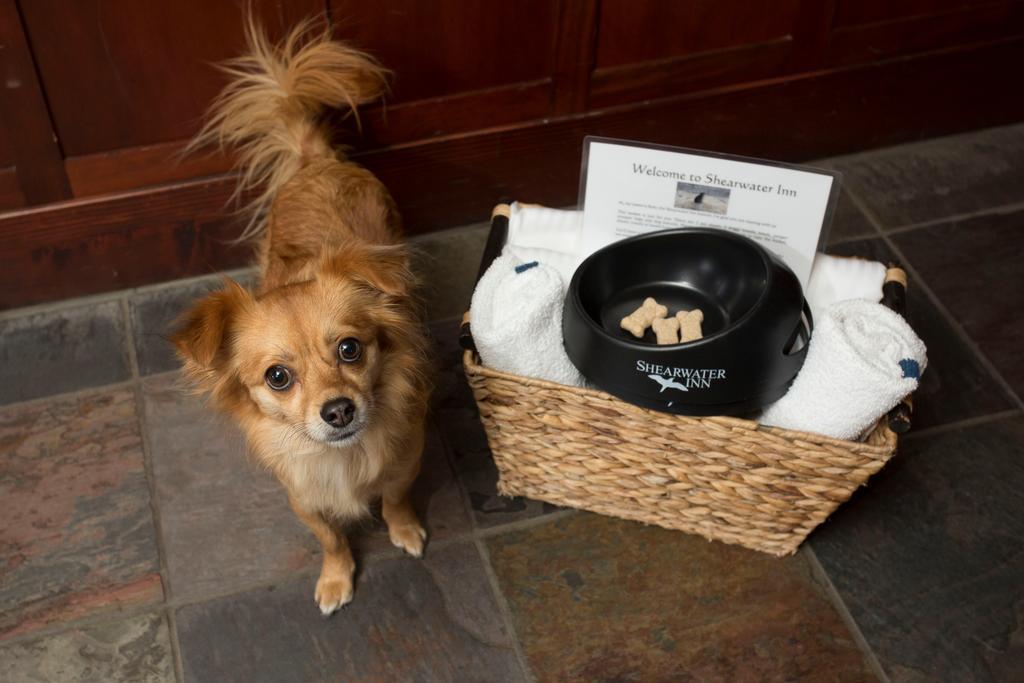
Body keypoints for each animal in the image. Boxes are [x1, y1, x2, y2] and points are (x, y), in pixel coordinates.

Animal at [174, 18, 430, 618]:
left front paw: (404, 529)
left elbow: (395, 500)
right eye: (278, 377)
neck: (342, 459)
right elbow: (332, 537)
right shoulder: (302, 498)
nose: (337, 410)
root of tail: (317, 161)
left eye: (350, 349)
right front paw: (336, 579)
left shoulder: (406, 460)